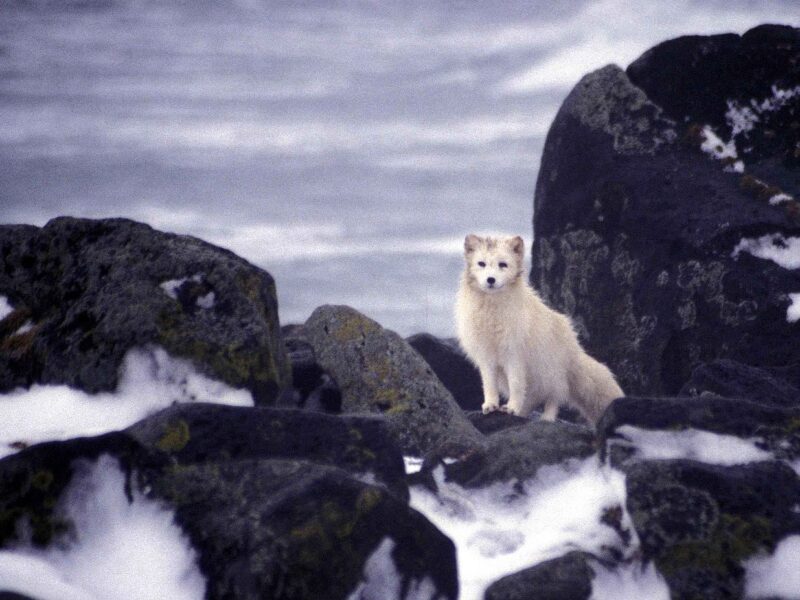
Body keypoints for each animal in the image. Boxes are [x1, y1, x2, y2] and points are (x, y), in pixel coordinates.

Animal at [454, 234, 623, 425]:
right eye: (481, 263)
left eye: (503, 264)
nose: (491, 280)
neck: (492, 313)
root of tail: (575, 349)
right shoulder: (486, 357)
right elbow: (489, 385)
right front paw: (491, 405)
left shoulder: (514, 355)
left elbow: (516, 385)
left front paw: (511, 408)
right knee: (532, 399)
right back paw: (522, 414)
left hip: (551, 375)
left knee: (554, 398)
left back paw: (546, 418)